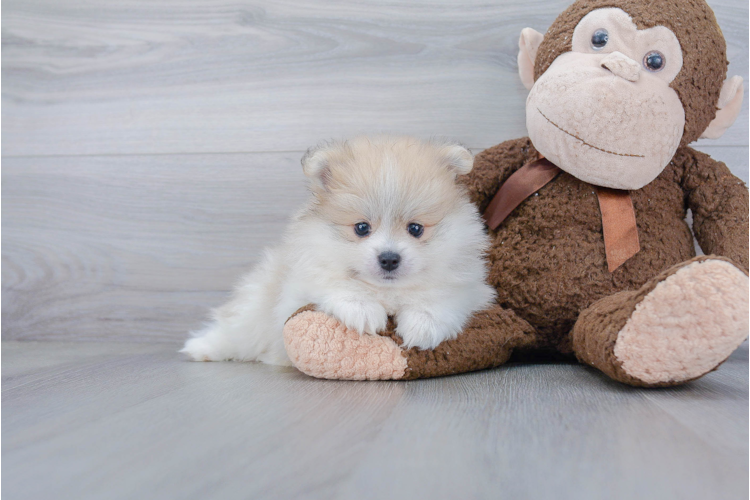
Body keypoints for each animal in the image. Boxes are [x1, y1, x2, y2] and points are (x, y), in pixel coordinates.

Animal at [181, 135, 496, 366]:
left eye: (416, 229)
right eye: (361, 228)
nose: (389, 258)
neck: (387, 292)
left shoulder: (469, 286)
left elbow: (441, 295)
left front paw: (423, 324)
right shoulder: (300, 284)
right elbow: (335, 282)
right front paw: (362, 308)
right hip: (256, 304)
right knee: (235, 330)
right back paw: (202, 348)